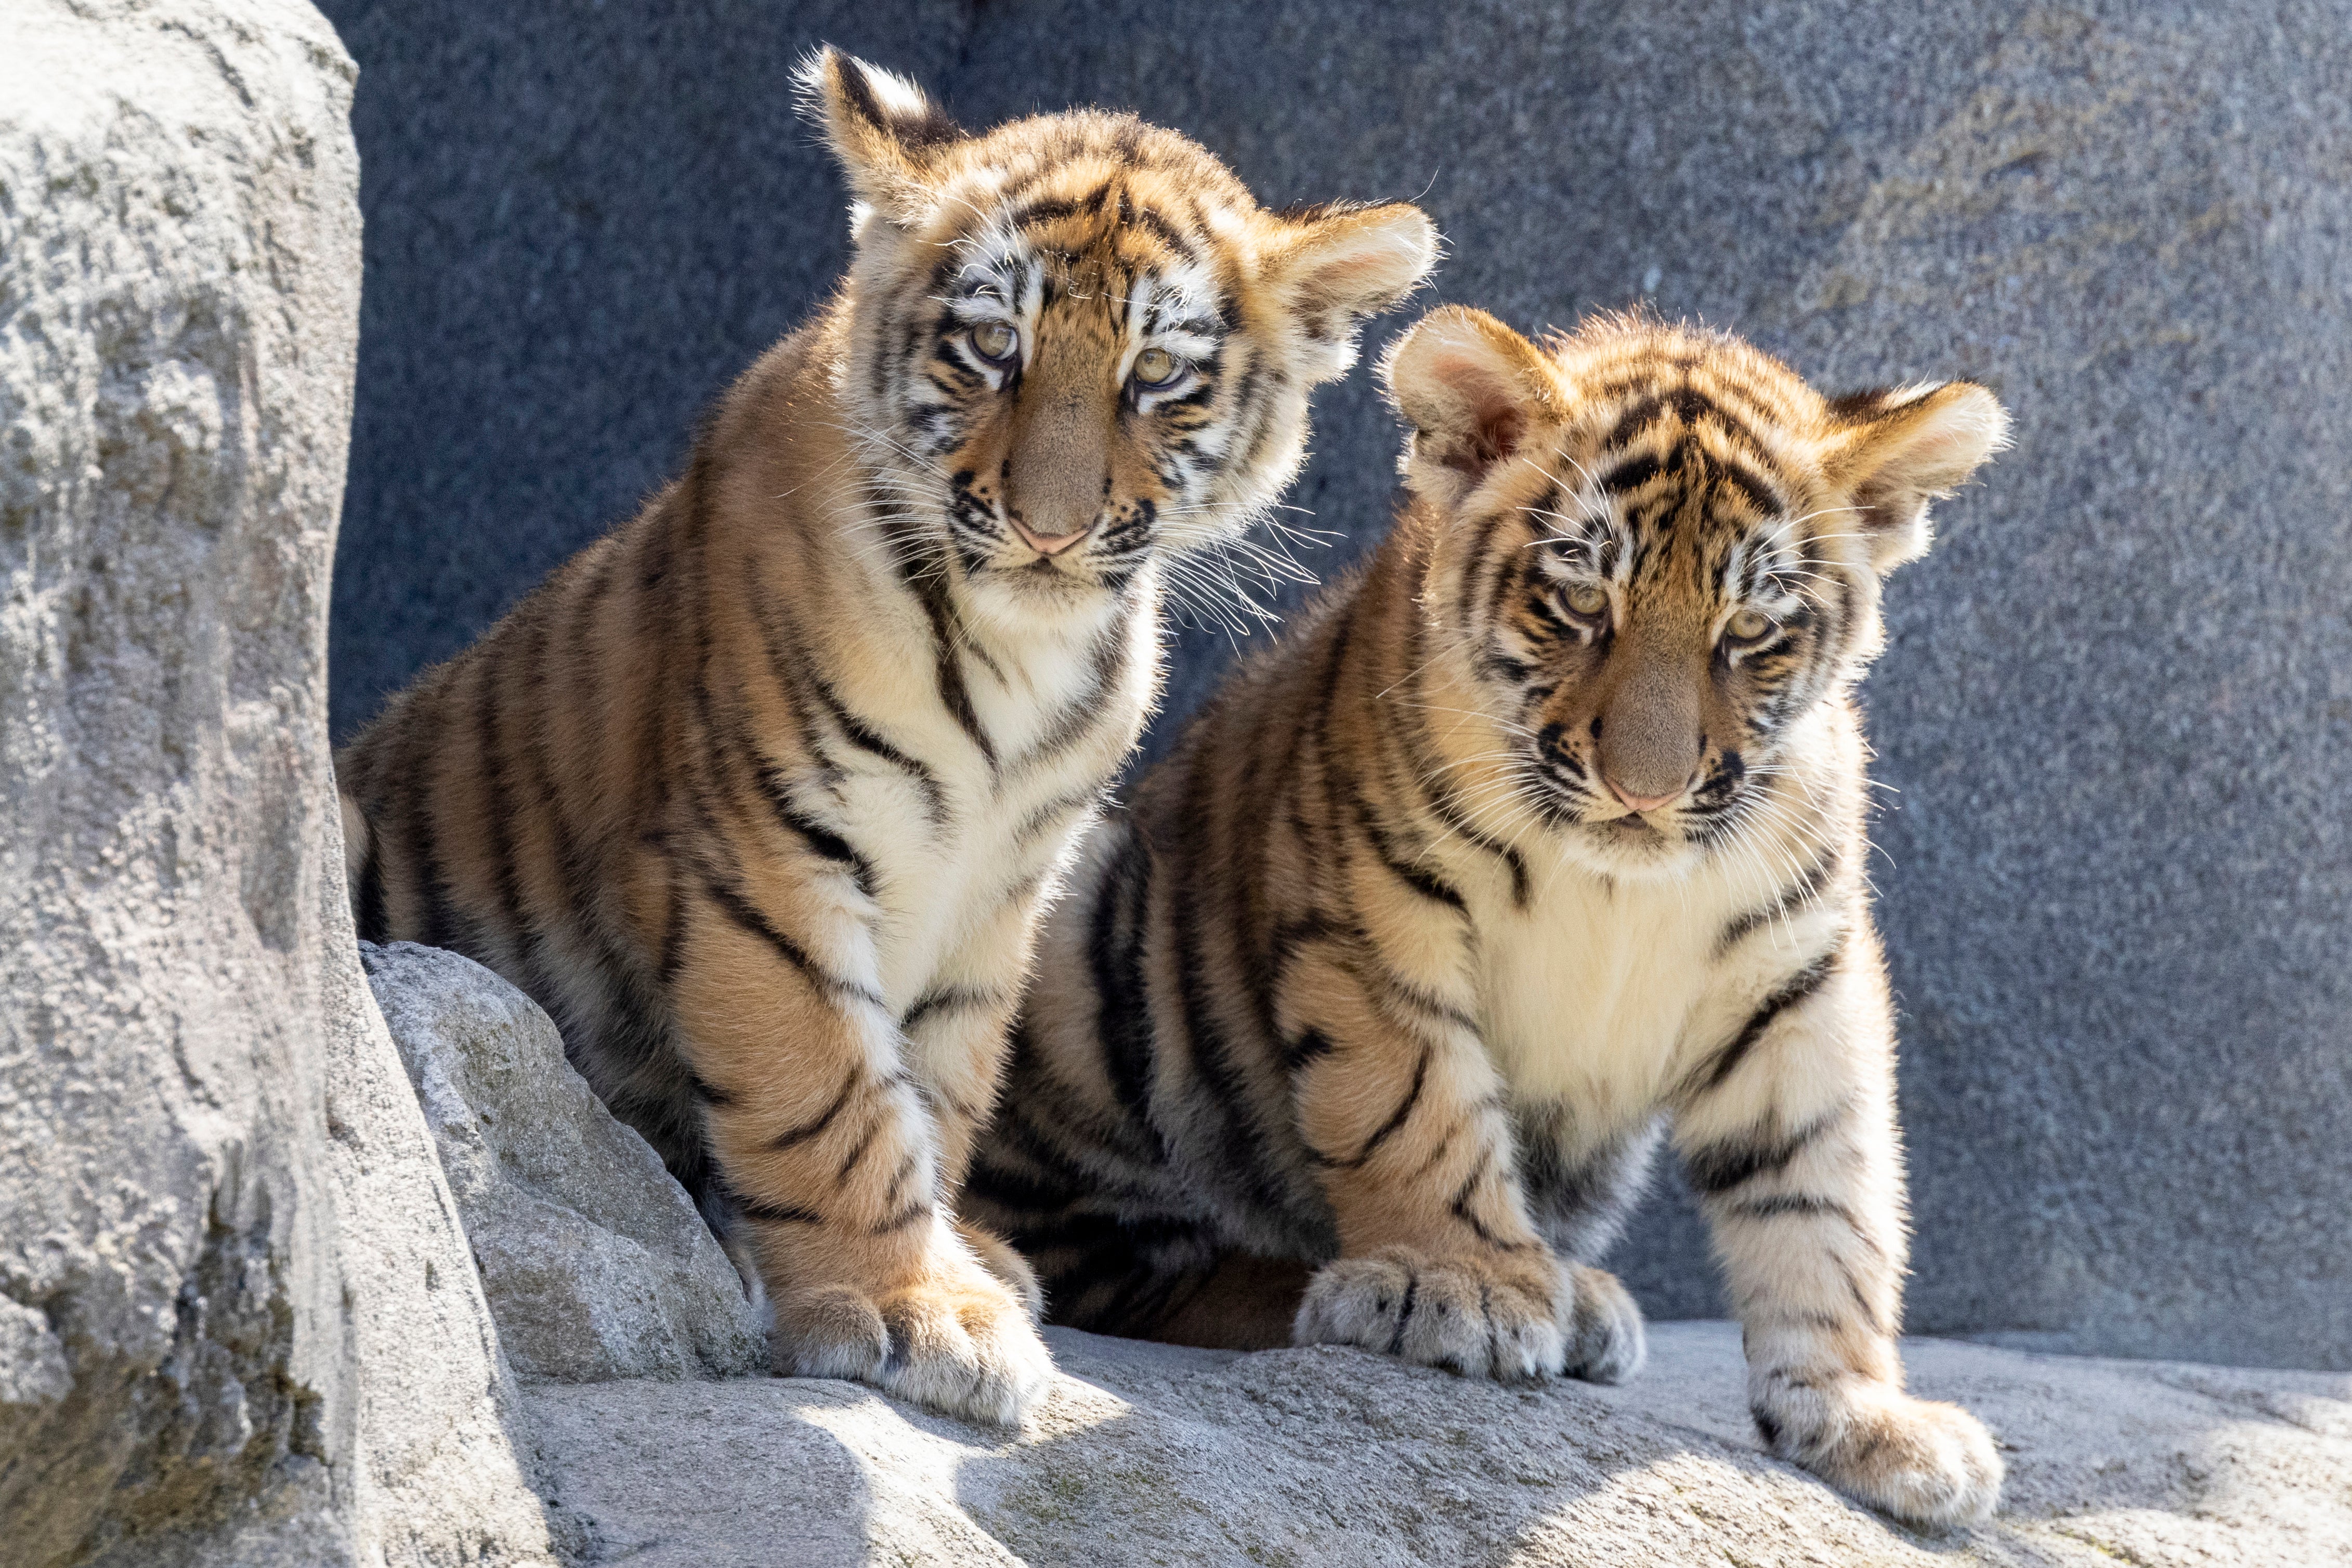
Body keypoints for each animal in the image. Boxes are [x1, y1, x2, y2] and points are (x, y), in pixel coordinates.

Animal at [333, 46, 1436, 1426]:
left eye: (1156, 377)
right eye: (993, 345)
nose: (1050, 529)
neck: (1018, 654)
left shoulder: (998, 886)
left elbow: (937, 1079)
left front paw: (960, 1259)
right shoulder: (766, 857)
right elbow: (828, 1091)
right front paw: (908, 1305)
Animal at [965, 304, 2013, 1524]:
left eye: (1750, 631)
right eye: (1581, 601)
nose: (1644, 790)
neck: (1618, 881)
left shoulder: (1798, 979)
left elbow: (1825, 1197)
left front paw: (1865, 1413)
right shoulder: (1375, 915)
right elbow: (1414, 1107)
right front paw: (1454, 1283)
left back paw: (1576, 1288)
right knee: (1112, 1265)